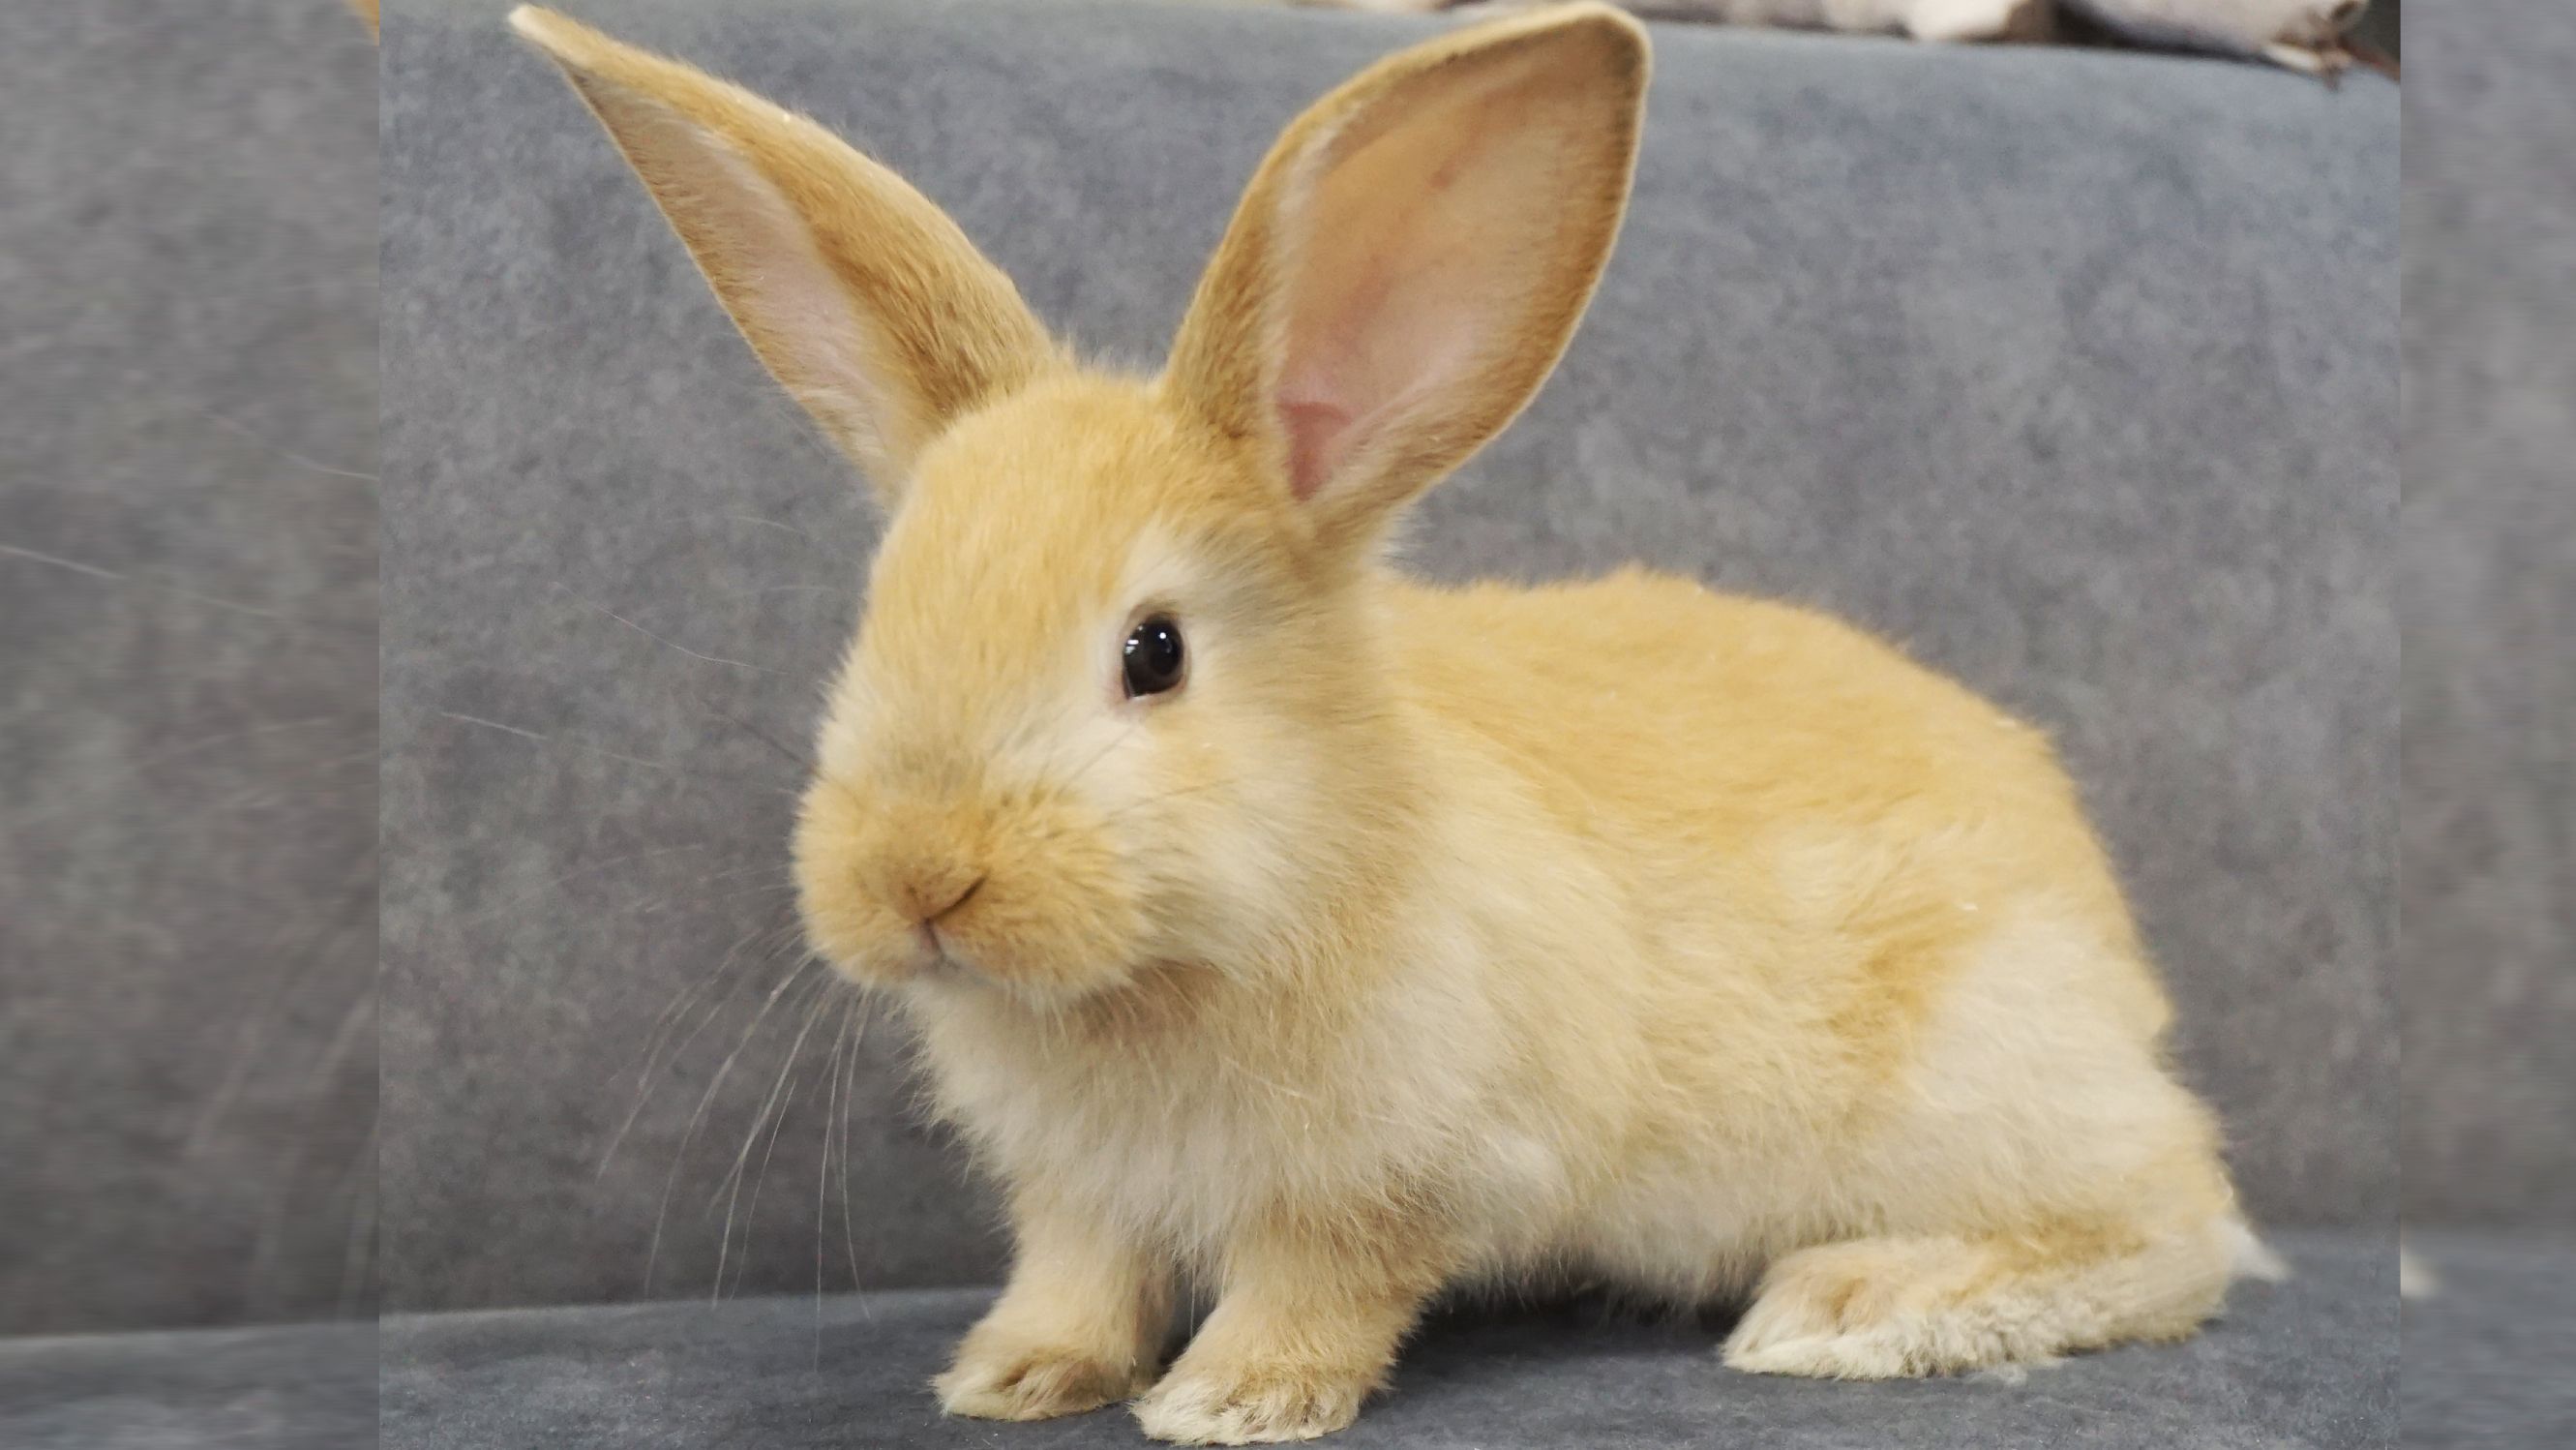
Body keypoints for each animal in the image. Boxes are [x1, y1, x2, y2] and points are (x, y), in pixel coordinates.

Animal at [511, 4, 2268, 1442]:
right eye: (875, 618)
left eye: (1153, 652)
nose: (914, 883)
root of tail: (2112, 959)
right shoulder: (1083, 1194)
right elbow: (1077, 1272)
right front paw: (1011, 1373)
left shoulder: (1392, 1173)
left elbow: (1321, 1281)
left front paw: (1230, 1399)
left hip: (1985, 1084)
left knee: (2173, 1226)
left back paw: (1850, 1305)